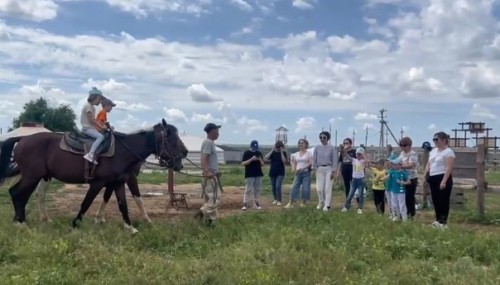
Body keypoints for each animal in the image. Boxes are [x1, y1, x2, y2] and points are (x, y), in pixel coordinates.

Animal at [0, 118, 187, 232]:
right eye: (172, 140)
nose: (184, 154)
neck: (122, 151)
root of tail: (22, 139)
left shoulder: (118, 183)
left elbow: (122, 205)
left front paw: (130, 227)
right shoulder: (98, 183)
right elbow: (86, 203)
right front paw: (75, 224)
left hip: (37, 176)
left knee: (22, 195)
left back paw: (23, 220)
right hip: (32, 177)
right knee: (17, 194)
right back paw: (21, 223)